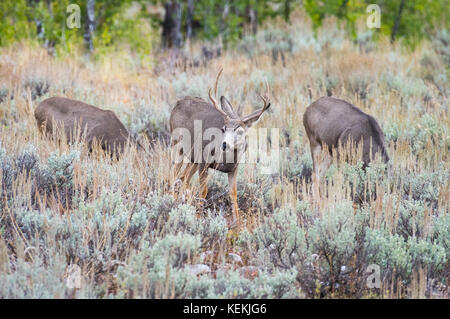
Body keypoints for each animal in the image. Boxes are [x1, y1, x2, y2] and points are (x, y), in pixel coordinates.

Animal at [170, 69, 270, 228]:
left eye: (240, 131)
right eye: (224, 128)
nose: (224, 144)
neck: (225, 159)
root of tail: (178, 103)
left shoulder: (233, 168)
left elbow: (233, 193)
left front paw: (237, 224)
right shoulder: (204, 161)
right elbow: (203, 190)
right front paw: (198, 217)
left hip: (192, 158)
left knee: (183, 178)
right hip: (176, 145)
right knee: (173, 175)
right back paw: (170, 201)